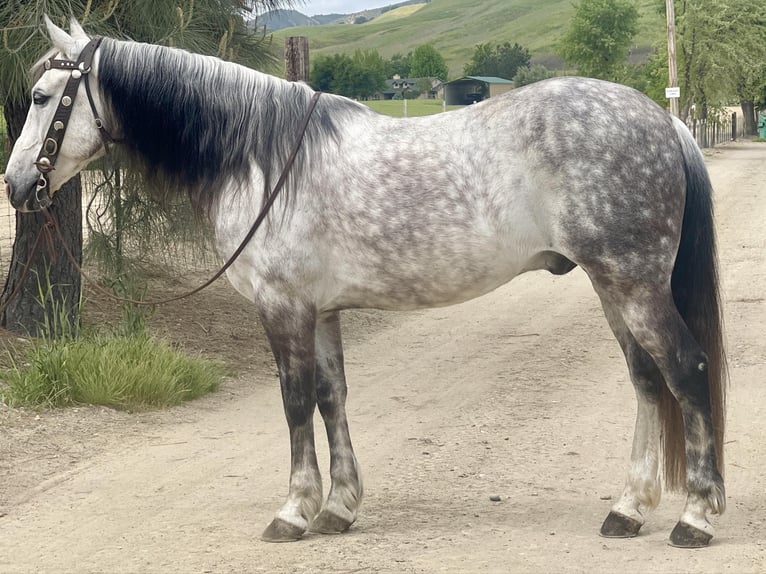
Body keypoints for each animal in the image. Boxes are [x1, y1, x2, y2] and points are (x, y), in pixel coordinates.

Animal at [3, 18, 728, 548]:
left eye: (40, 98)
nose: (14, 186)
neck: (262, 157)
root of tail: (663, 119)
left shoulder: (284, 308)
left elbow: (296, 402)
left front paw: (293, 511)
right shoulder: (321, 311)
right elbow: (332, 398)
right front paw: (339, 509)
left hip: (633, 284)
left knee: (686, 370)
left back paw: (694, 518)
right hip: (613, 288)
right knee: (646, 381)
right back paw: (628, 509)